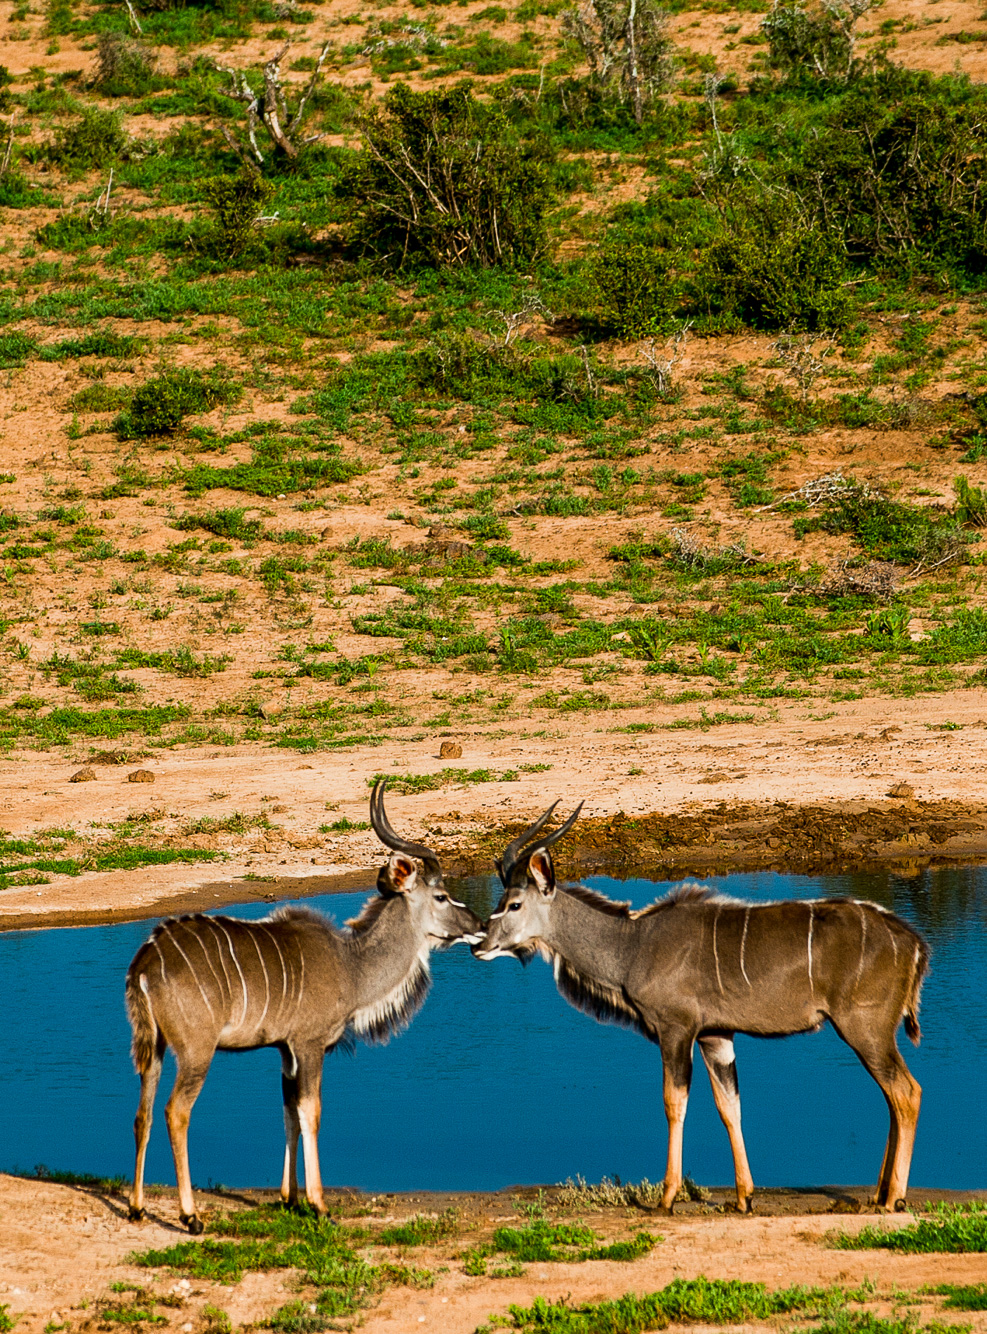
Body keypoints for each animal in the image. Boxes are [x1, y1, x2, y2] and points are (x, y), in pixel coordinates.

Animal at [125, 779, 480, 1227]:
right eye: (442, 896)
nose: (479, 925)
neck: (351, 965)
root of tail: (147, 960)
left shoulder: (284, 1051)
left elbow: (289, 1114)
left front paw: (288, 1198)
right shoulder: (309, 1046)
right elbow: (311, 1112)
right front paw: (318, 1204)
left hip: (153, 1048)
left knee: (143, 1113)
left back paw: (137, 1207)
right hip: (196, 1051)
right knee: (176, 1112)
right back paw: (191, 1217)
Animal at [474, 805, 928, 1216]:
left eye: (514, 904)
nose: (481, 944)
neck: (633, 947)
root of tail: (914, 944)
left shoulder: (676, 1029)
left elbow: (673, 1102)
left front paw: (667, 1198)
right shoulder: (716, 1036)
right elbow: (730, 1106)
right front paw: (744, 1198)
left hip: (864, 1029)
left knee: (906, 1092)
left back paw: (893, 1198)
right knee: (893, 1096)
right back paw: (877, 1194)